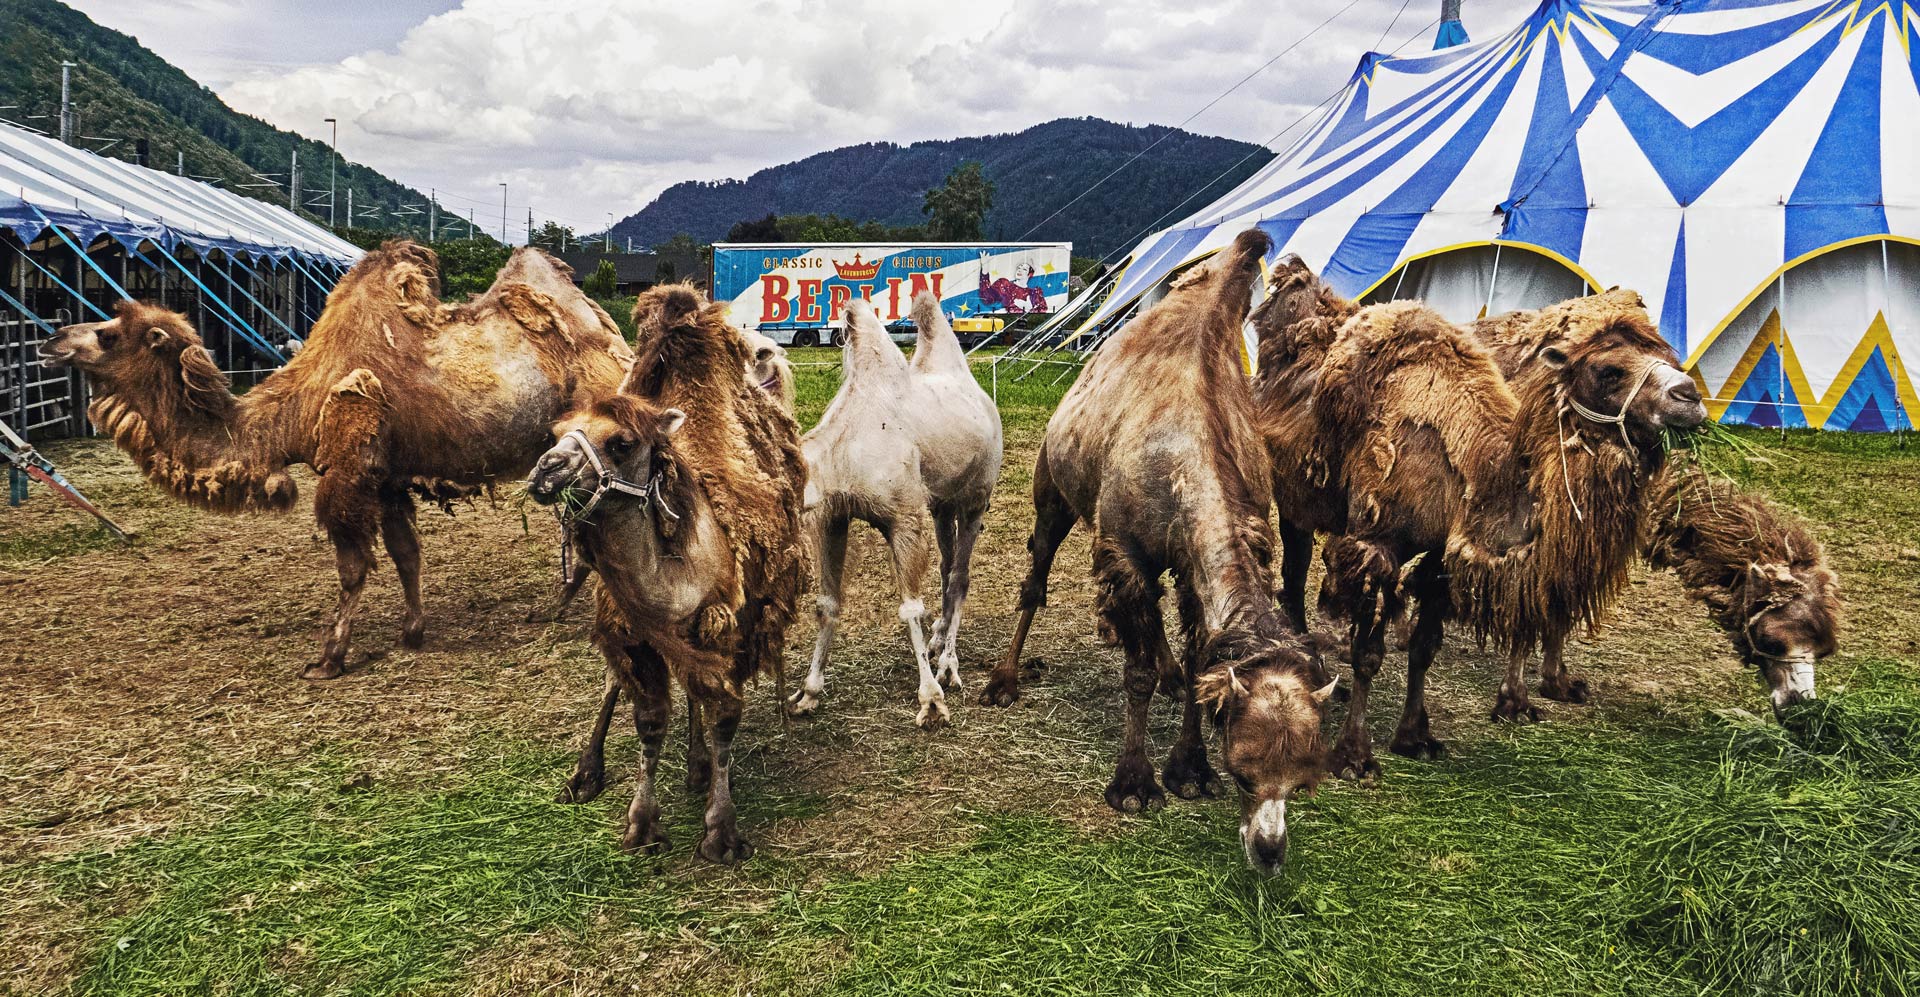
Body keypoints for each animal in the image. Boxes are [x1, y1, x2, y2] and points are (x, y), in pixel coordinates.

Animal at [43, 243, 629, 680]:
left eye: (108, 334)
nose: (52, 338)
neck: (297, 410)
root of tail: (612, 342)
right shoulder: (387, 476)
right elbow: (405, 554)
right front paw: (412, 632)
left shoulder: (349, 469)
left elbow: (351, 568)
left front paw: (329, 658)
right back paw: (557, 605)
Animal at [526, 284, 802, 860]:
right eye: (557, 432)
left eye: (622, 442)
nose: (545, 470)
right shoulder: (636, 633)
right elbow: (650, 720)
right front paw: (641, 822)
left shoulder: (727, 629)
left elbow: (724, 718)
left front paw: (720, 830)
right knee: (617, 681)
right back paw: (587, 772)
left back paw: (697, 768)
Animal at [794, 291, 1006, 729]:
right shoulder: (835, 517)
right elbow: (827, 604)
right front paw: (808, 693)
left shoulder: (904, 518)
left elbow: (909, 609)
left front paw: (931, 701)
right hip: (941, 506)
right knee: (946, 566)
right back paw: (939, 638)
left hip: (975, 499)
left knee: (960, 576)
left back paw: (948, 666)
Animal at [990, 230, 1336, 879]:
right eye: (1243, 773)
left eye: (1304, 782)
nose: (1269, 853)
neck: (1185, 455)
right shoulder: (1126, 554)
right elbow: (1137, 672)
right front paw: (1133, 783)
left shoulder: (1198, 554)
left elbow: (1201, 652)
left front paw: (1189, 769)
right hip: (1053, 490)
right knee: (1036, 577)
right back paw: (1003, 679)